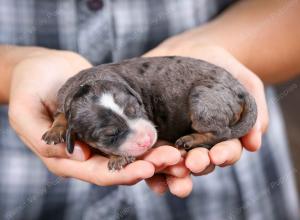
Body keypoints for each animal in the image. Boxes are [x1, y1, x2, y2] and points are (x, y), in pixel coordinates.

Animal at [41, 55, 258, 171]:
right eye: (110, 135)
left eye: (136, 108)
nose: (146, 140)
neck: (87, 83)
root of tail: (240, 89)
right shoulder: (64, 98)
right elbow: (62, 115)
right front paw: (55, 130)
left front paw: (117, 158)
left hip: (202, 101)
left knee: (221, 132)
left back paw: (190, 139)